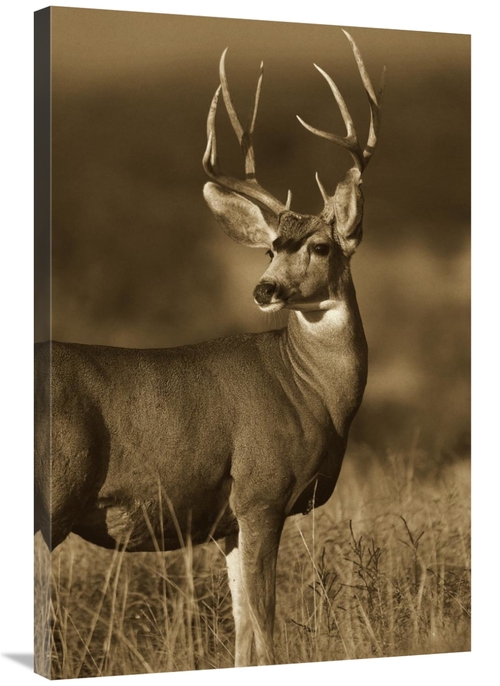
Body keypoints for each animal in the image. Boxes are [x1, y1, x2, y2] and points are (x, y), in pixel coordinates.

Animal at [34, 30, 384, 668]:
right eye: (271, 247)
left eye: (320, 246)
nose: (264, 289)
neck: (313, 393)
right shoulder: (261, 491)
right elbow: (267, 631)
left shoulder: (228, 522)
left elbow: (244, 633)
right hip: (53, 492)